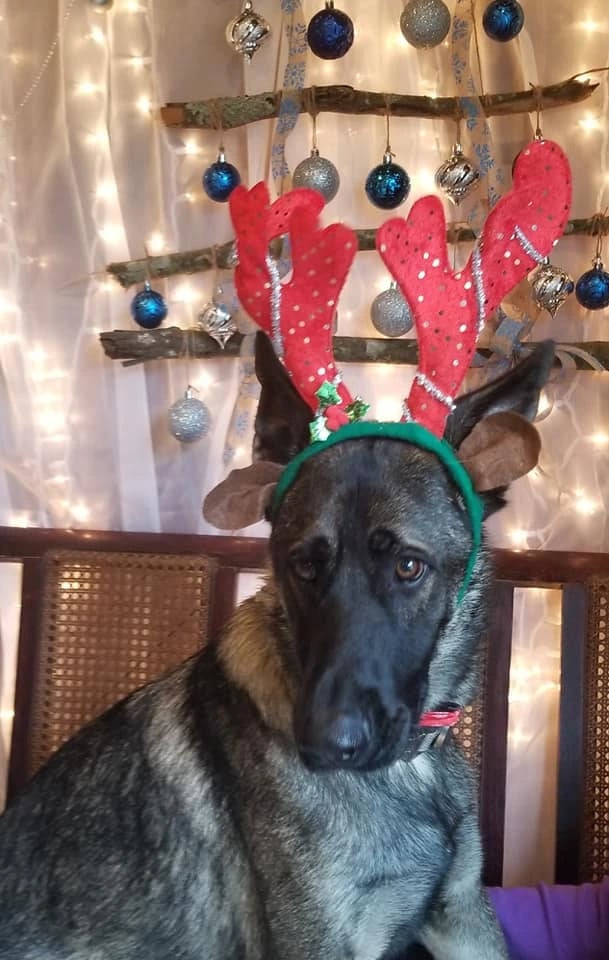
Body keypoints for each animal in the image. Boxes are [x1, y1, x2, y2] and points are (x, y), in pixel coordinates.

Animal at [0, 328, 553, 959]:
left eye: (409, 567)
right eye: (304, 566)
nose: (327, 744)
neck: (409, 773)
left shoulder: (463, 916)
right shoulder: (323, 944)